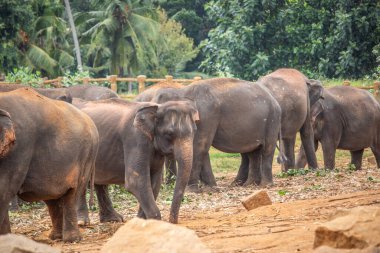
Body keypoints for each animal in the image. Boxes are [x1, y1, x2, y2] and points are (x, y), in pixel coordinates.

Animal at [0, 88, 98, 242]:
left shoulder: (19, 147)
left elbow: (4, 188)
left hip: (87, 156)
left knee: (72, 194)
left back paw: (72, 239)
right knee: (51, 197)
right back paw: (56, 237)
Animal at [72, 98, 200, 224]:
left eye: (195, 131)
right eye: (169, 133)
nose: (172, 222)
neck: (157, 107)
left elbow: (154, 182)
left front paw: (141, 221)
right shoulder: (135, 139)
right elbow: (136, 181)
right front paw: (153, 222)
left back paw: (113, 219)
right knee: (82, 180)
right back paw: (82, 222)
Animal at [151, 78, 282, 191]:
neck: (182, 90)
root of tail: (273, 99)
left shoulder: (206, 115)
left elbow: (199, 147)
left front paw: (191, 190)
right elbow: (203, 149)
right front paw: (211, 188)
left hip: (272, 120)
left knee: (267, 149)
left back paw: (264, 185)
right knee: (252, 152)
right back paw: (248, 184)